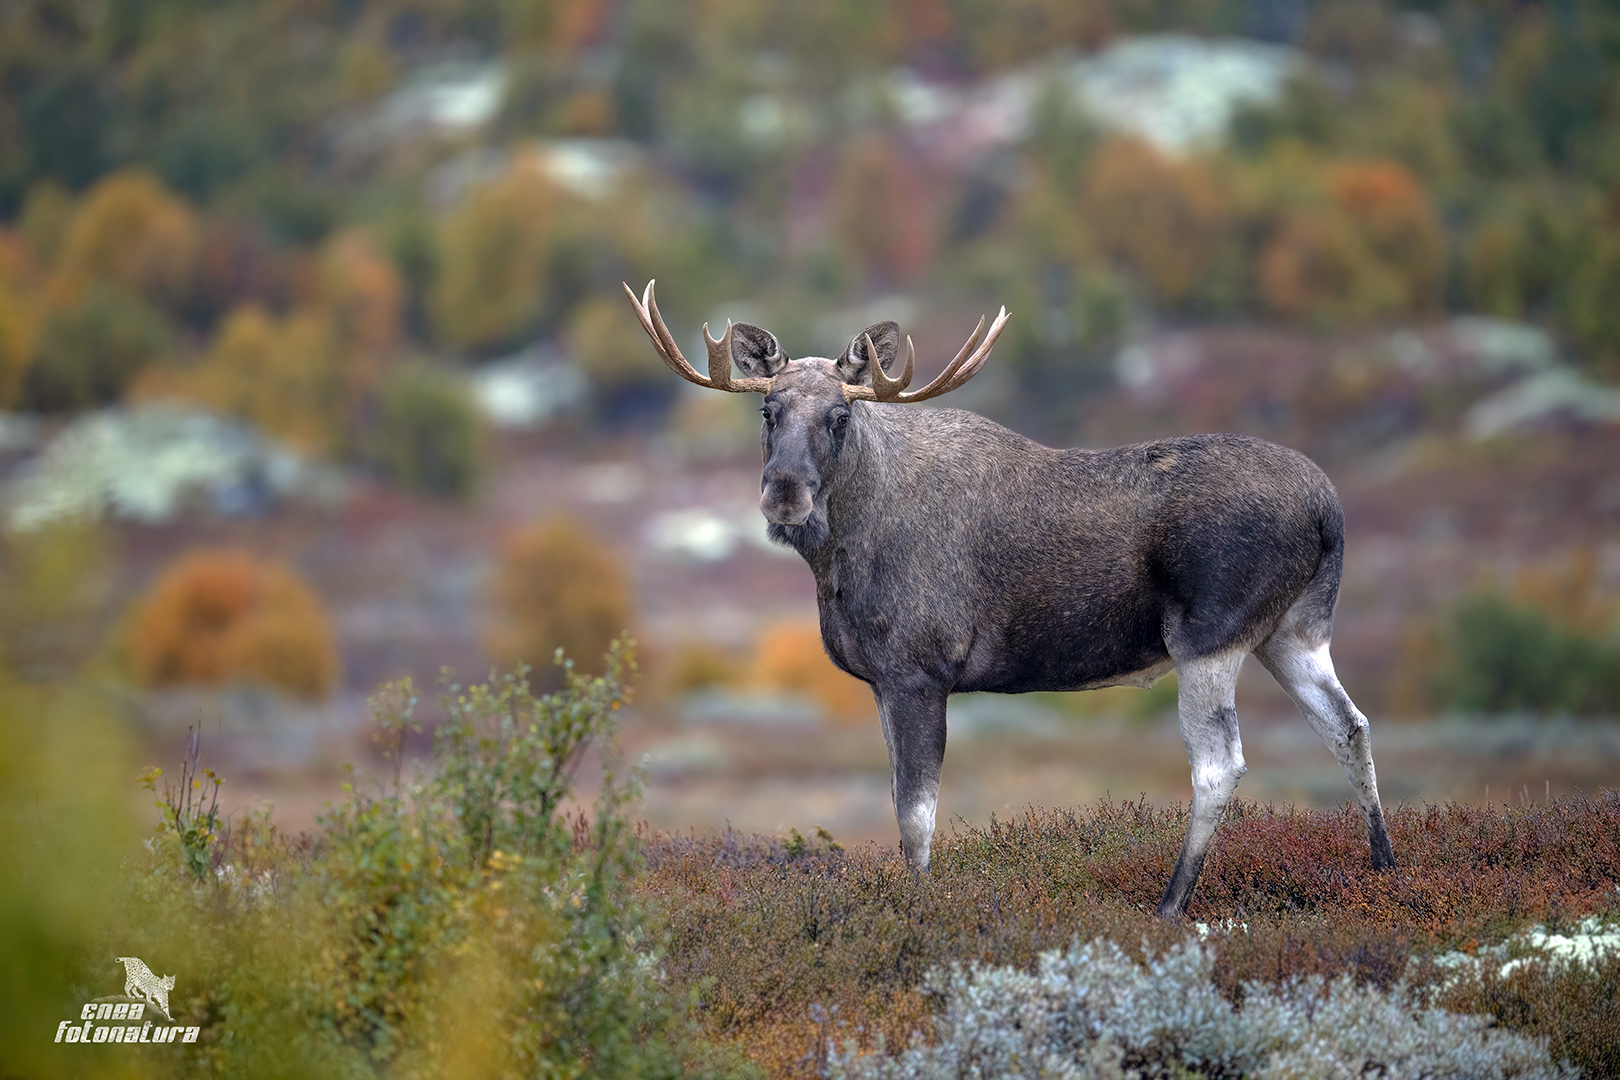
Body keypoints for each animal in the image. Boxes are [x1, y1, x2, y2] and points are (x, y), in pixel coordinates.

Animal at [625, 280, 1396, 919]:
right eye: (768, 408)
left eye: (840, 416)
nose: (785, 494)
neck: (839, 559)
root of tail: (1329, 510)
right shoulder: (879, 682)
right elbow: (897, 801)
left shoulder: (919, 672)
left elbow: (916, 814)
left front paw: (917, 904)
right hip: (1293, 632)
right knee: (1349, 725)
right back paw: (1383, 870)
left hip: (1209, 637)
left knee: (1219, 763)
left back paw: (1172, 903)